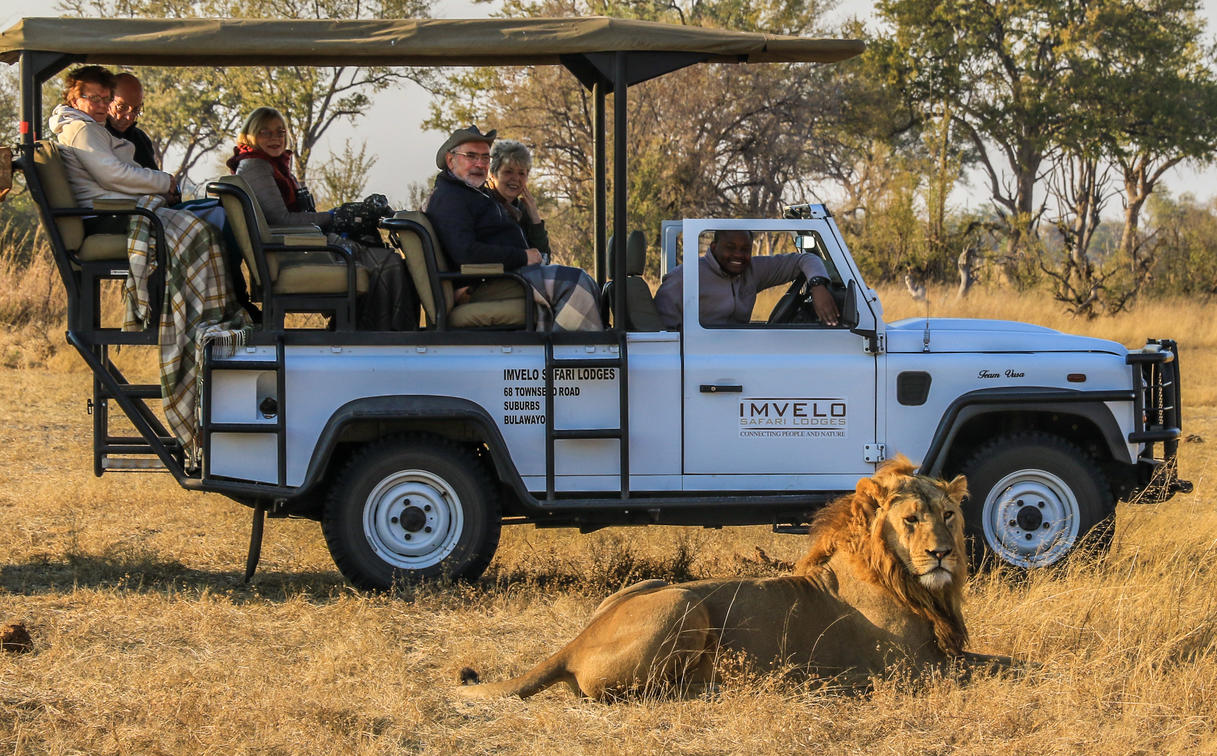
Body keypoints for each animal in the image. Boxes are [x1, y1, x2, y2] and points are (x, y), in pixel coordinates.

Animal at [455, 450, 1007, 696]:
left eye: (948, 515)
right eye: (911, 520)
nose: (943, 553)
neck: (919, 588)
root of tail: (573, 643)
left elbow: (998, 657)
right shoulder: (911, 668)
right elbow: (1005, 666)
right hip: (683, 603)